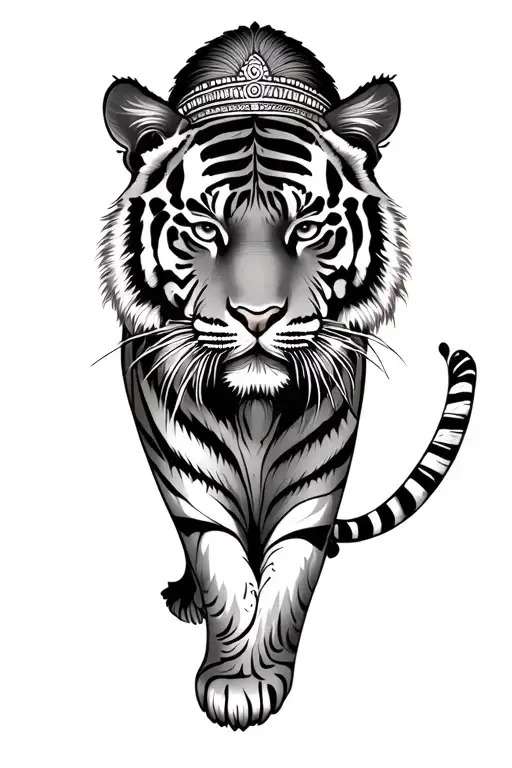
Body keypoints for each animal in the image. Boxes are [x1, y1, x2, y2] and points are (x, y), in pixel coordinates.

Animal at [97, 23, 476, 730]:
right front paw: (232, 679)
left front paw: (251, 680)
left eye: (307, 228)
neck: (254, 406)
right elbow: (221, 566)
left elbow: (290, 574)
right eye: (205, 228)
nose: (256, 315)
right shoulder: (182, 463)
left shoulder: (319, 466)